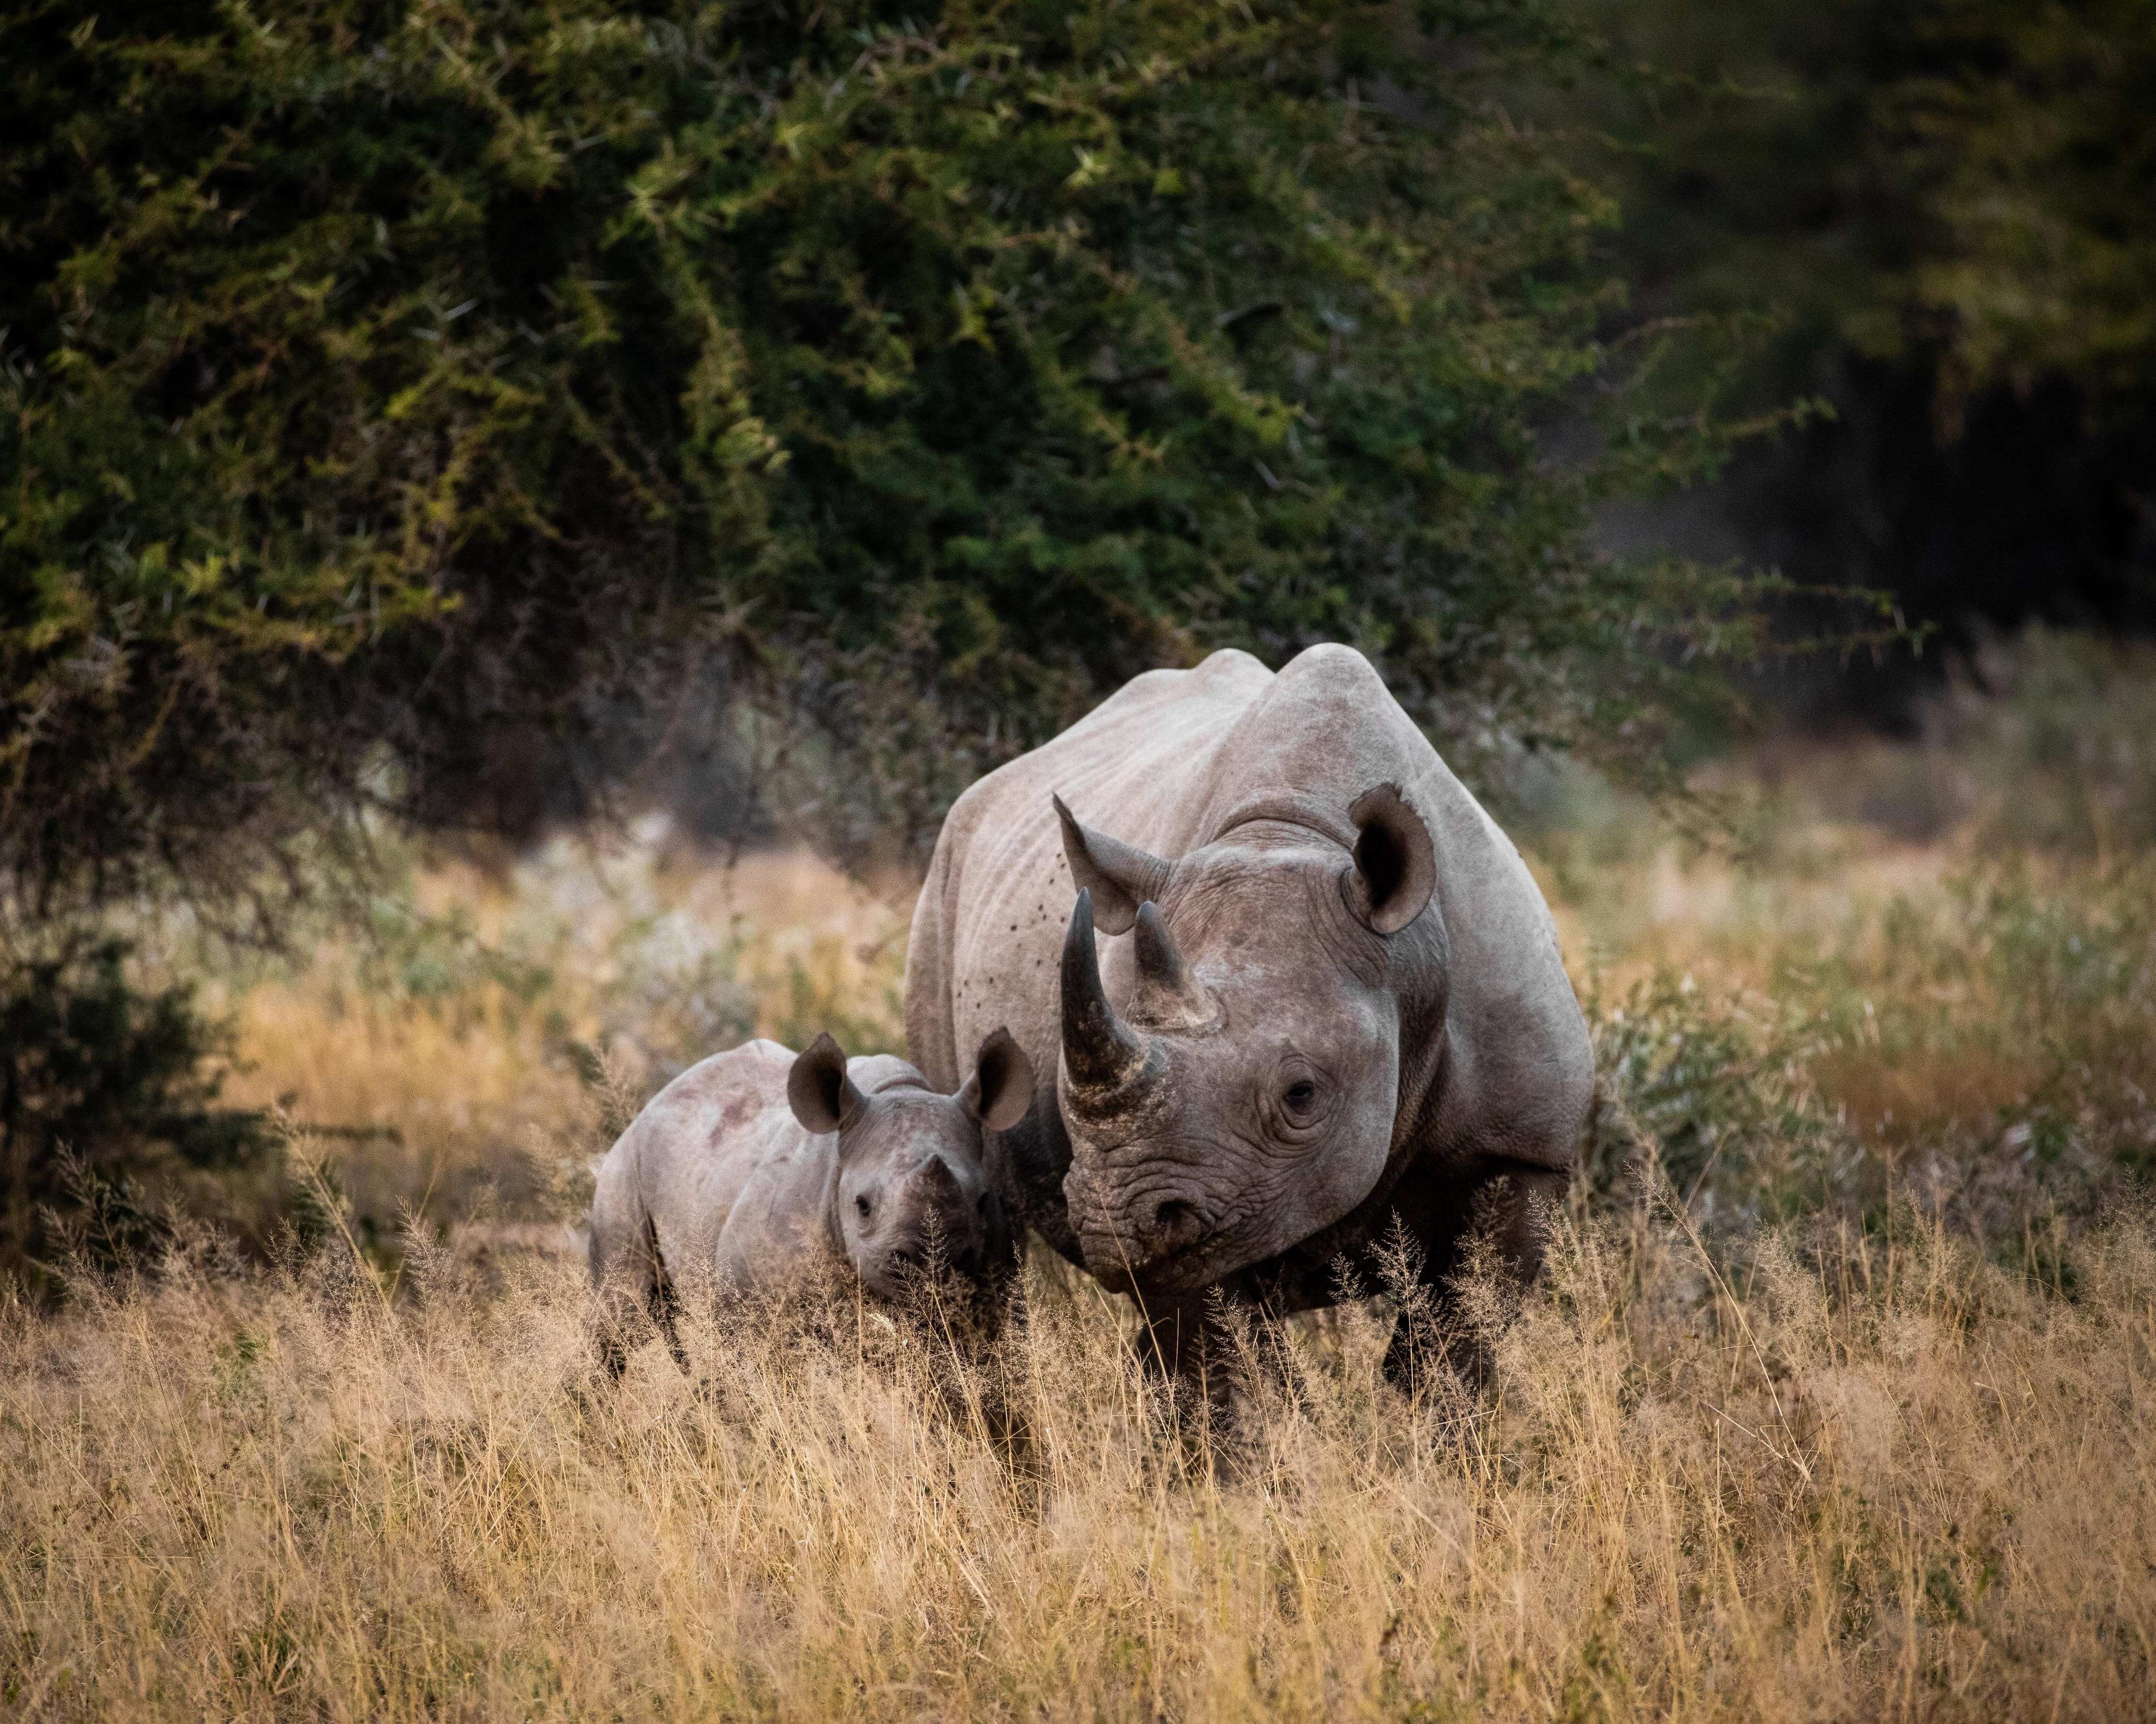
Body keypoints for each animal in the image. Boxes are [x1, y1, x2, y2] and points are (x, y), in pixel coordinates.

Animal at [586, 1026, 1030, 1370]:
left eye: (983, 1200)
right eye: (862, 1205)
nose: (931, 1268)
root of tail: (652, 1104)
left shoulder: (996, 1293)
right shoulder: (747, 1302)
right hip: (622, 1173)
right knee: (621, 1319)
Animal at [901, 637, 1595, 1379]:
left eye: (1301, 1093)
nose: (1118, 1223)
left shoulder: (1520, 1149)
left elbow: (1453, 1348)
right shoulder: (1204, 1190)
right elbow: (1218, 1363)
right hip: (940, 894)